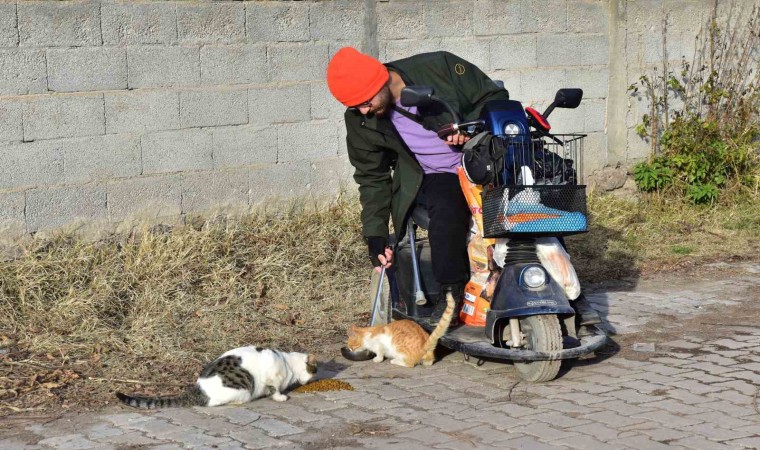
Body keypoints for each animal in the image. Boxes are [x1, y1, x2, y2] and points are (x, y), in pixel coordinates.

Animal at [117, 346, 320, 410]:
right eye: (314, 370)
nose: (311, 380)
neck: (287, 362)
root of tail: (198, 390)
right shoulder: (273, 375)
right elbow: (275, 389)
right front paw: (280, 396)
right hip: (242, 390)